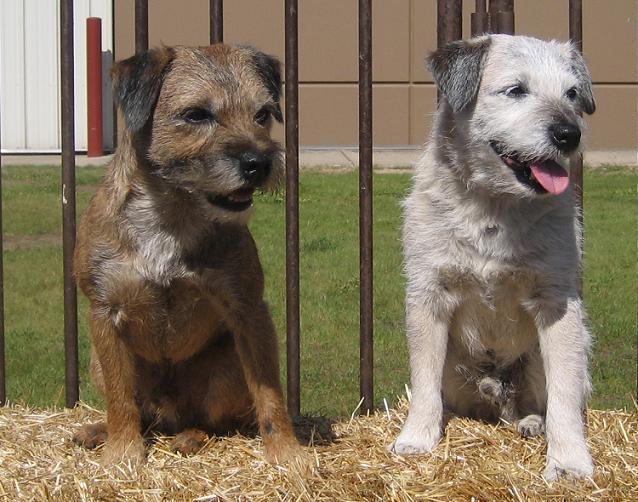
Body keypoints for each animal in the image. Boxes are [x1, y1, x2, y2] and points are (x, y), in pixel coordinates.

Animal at [72, 44, 303, 466]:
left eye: (263, 114)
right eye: (196, 115)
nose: (259, 163)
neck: (172, 215)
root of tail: (170, 412)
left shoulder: (249, 311)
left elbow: (270, 396)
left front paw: (287, 453)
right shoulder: (104, 312)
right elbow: (120, 400)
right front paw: (122, 454)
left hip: (225, 370)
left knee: (214, 420)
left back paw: (192, 436)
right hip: (97, 361)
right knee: (139, 410)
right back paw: (100, 430)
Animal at [390, 35, 596, 481]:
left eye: (572, 93)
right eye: (516, 90)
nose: (569, 134)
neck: (494, 209)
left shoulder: (557, 304)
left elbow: (564, 394)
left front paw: (570, 460)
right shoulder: (429, 296)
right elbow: (424, 382)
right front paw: (417, 439)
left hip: (542, 356)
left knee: (536, 401)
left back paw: (532, 423)